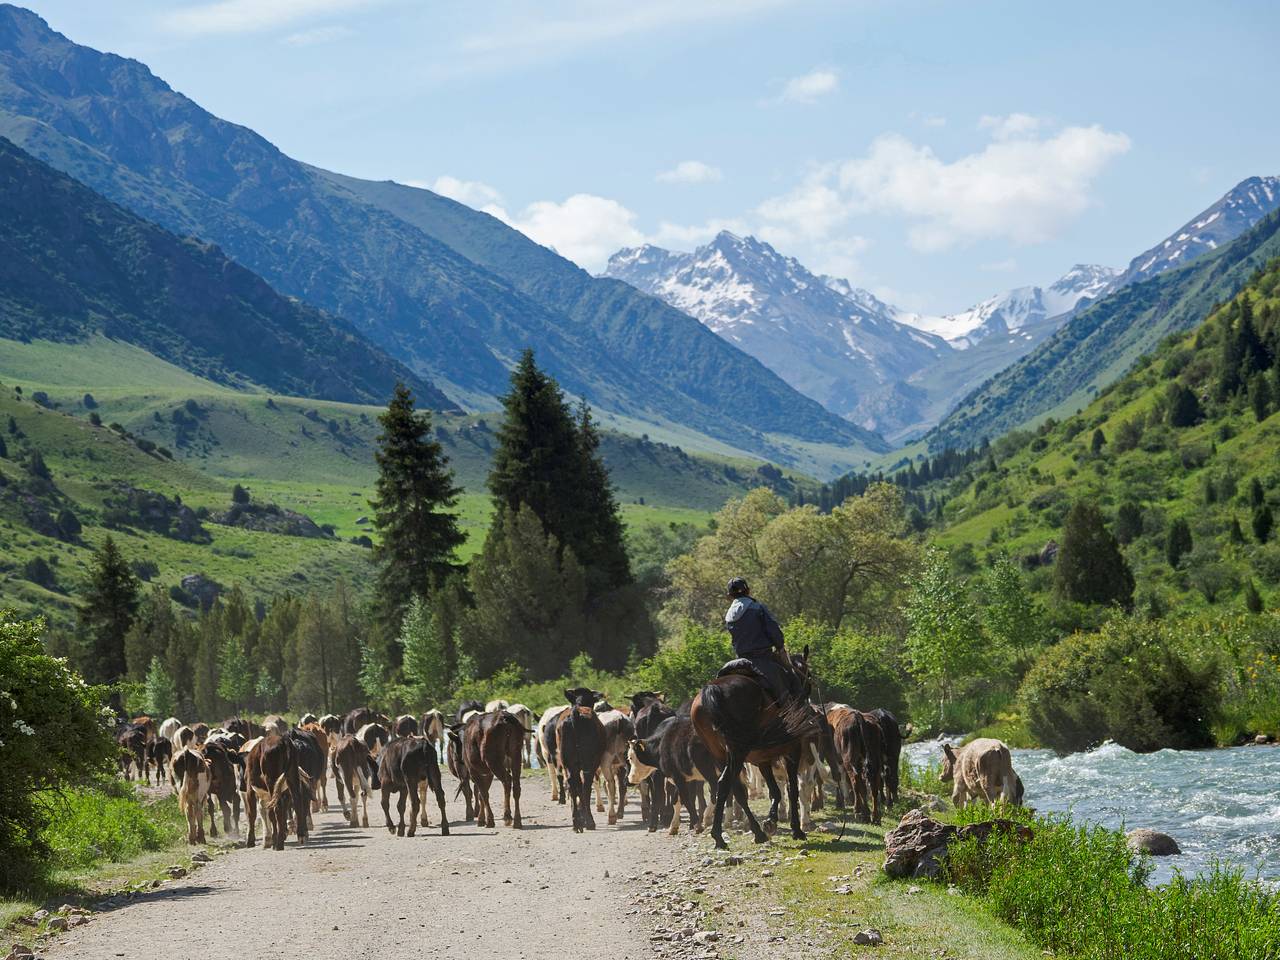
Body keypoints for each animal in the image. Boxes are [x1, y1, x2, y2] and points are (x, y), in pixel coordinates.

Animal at [555, 691, 604, 834]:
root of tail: (576, 714)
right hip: (589, 761)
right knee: (585, 786)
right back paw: (589, 821)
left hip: (567, 761)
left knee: (572, 783)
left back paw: (576, 823)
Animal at [691, 647, 819, 849]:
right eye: (807, 673)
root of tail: (713, 689)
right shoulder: (792, 750)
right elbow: (791, 789)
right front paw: (796, 830)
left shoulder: (762, 759)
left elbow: (775, 791)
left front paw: (771, 822)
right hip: (737, 752)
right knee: (726, 783)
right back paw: (719, 836)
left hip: (721, 754)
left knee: (735, 789)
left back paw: (757, 833)